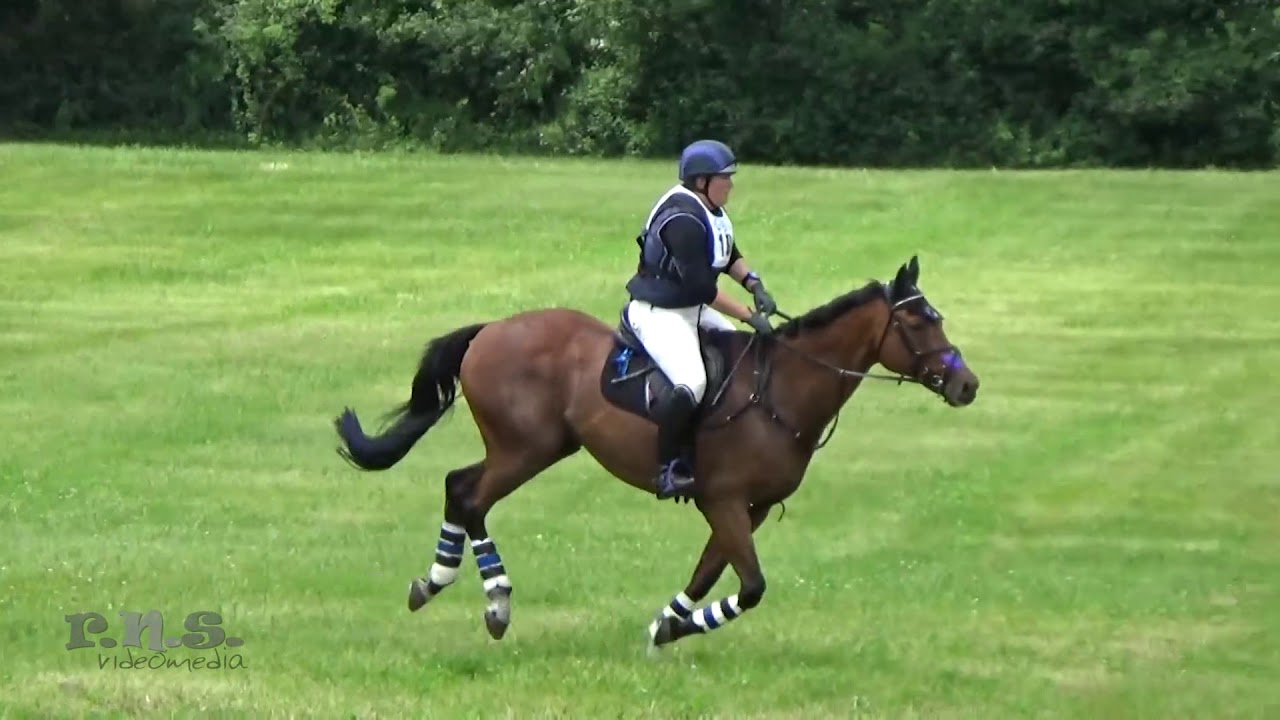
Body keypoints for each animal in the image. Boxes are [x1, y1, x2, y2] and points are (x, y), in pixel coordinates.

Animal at [333, 254, 979, 649]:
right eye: (919, 324)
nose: (967, 385)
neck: (783, 390)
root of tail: (490, 330)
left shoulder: (747, 509)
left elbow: (708, 572)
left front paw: (668, 625)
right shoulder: (724, 499)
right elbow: (749, 586)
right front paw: (677, 627)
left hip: (539, 447)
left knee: (457, 483)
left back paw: (434, 581)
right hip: (525, 449)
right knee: (469, 496)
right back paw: (493, 603)